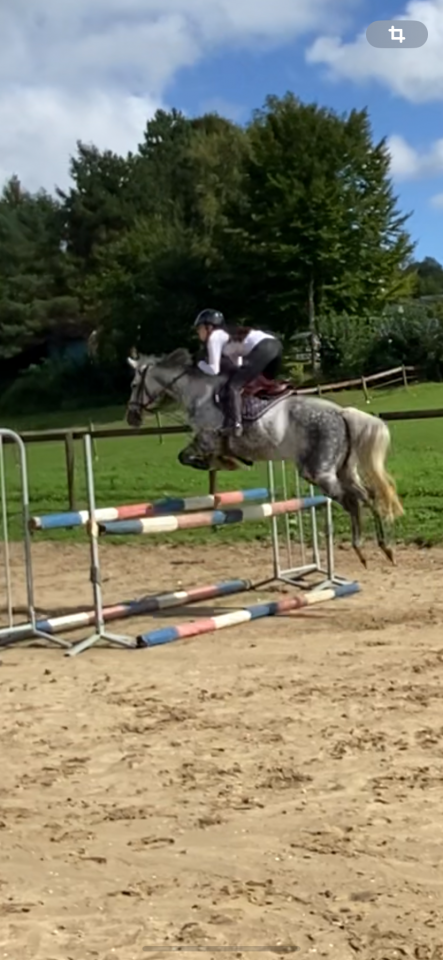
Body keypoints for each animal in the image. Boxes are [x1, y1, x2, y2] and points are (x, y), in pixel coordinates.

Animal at [126, 348, 403, 566]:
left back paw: (361, 547)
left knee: (353, 500)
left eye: (133, 385)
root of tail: (342, 412)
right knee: (368, 494)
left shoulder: (206, 438)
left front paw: (226, 462)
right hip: (344, 469)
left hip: (319, 472)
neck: (198, 393)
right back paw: (385, 547)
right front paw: (228, 462)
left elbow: (187, 456)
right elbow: (189, 457)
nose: (131, 418)